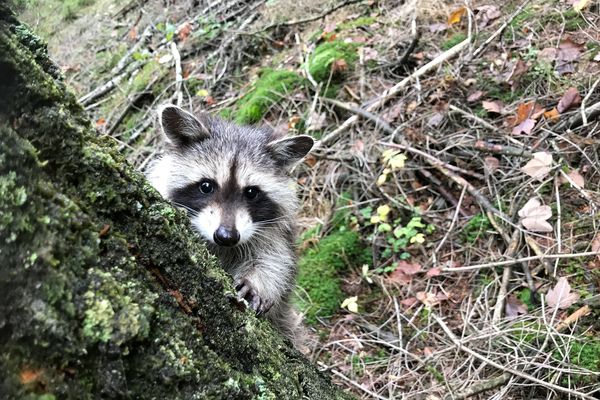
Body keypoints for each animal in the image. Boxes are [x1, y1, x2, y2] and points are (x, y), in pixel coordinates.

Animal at [146, 105, 314, 346]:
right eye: (206, 186)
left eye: (251, 192)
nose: (226, 236)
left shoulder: (274, 230)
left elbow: (275, 260)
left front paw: (257, 282)